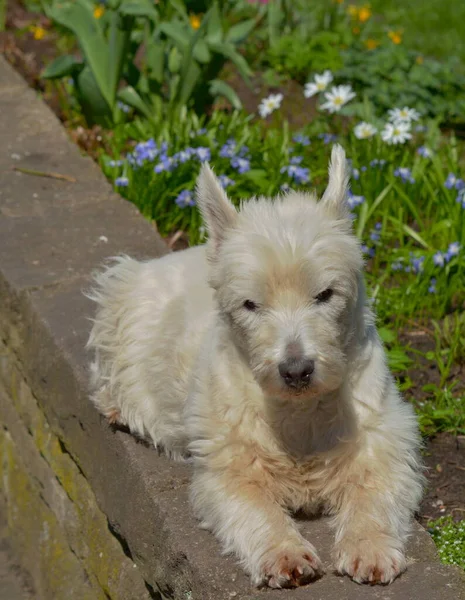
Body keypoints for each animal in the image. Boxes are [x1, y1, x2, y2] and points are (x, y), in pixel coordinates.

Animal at [88, 146, 424, 592]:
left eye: (325, 294)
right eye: (250, 304)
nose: (296, 370)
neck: (298, 415)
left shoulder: (384, 441)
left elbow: (374, 492)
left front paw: (369, 548)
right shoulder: (228, 466)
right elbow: (256, 509)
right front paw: (285, 553)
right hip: (123, 312)